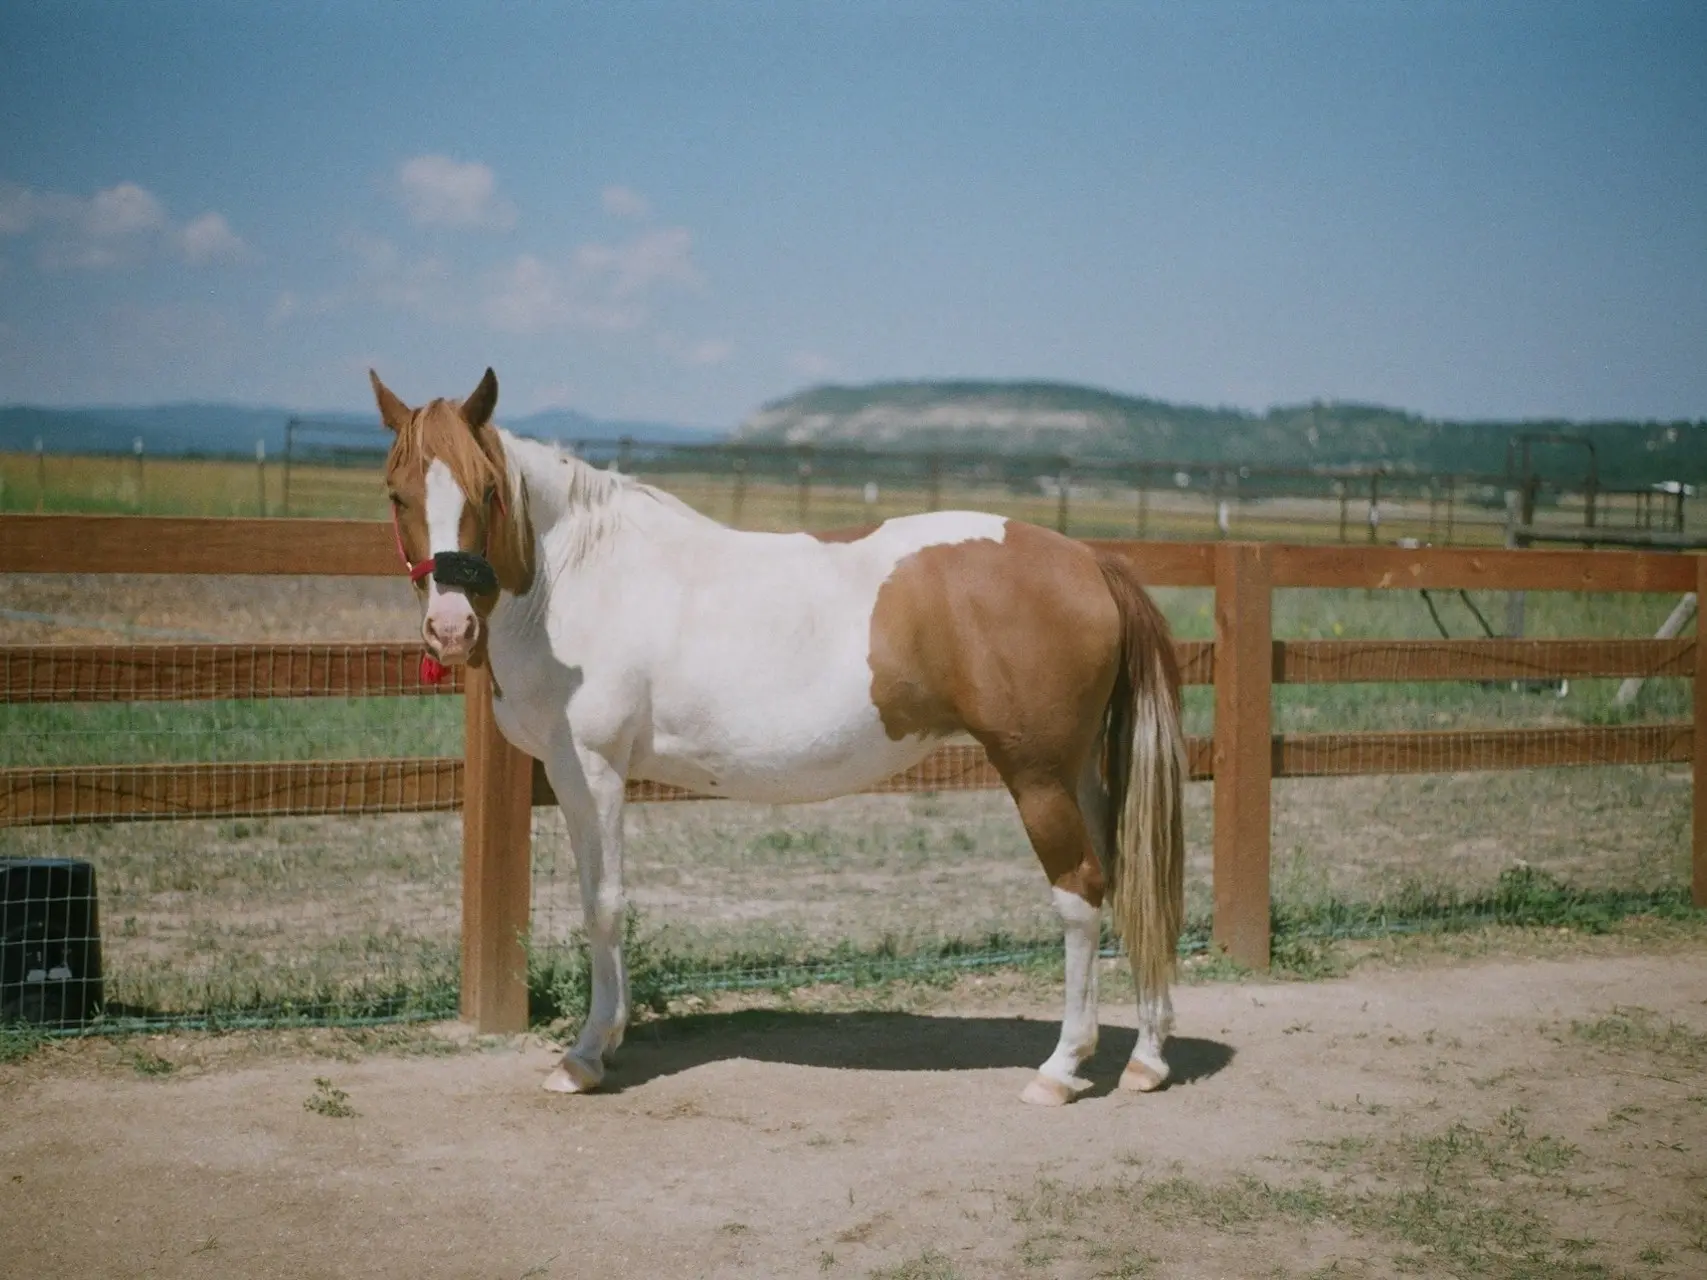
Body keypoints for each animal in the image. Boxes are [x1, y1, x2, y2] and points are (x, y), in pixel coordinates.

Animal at [373, 368, 1188, 1105]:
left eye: (486, 490)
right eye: (397, 493)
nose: (450, 628)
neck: (576, 575)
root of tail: (1090, 560)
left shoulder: (591, 770)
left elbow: (602, 903)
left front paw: (586, 1055)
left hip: (1038, 775)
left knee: (1081, 892)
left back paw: (1060, 1067)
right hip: (1081, 775)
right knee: (1132, 881)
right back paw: (1146, 1059)